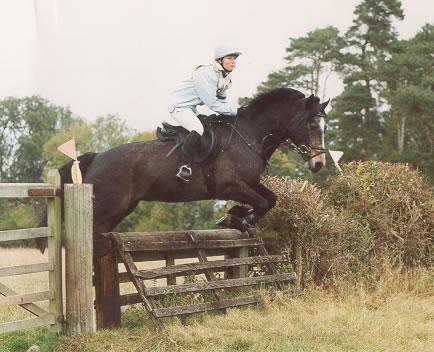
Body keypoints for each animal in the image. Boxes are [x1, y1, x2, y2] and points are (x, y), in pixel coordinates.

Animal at [36, 88, 328, 253]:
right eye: (313, 125)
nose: (318, 164)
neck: (249, 135)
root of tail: (96, 157)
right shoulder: (229, 186)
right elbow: (262, 203)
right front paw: (239, 220)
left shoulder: (249, 183)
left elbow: (270, 199)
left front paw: (236, 216)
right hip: (106, 207)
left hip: (120, 209)